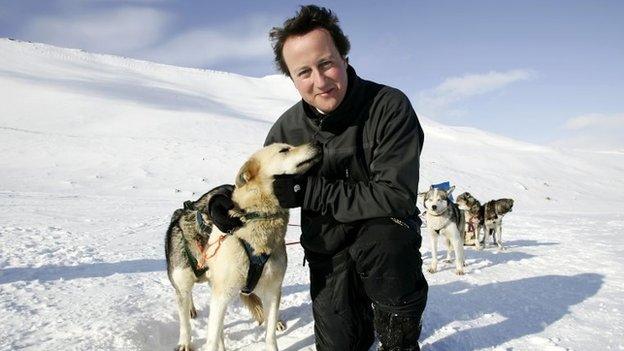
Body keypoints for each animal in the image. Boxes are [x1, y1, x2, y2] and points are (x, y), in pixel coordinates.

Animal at [166, 144, 320, 351]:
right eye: (284, 150)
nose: (317, 143)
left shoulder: (272, 289)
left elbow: (269, 334)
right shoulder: (220, 295)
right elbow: (208, 335)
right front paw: (187, 342)